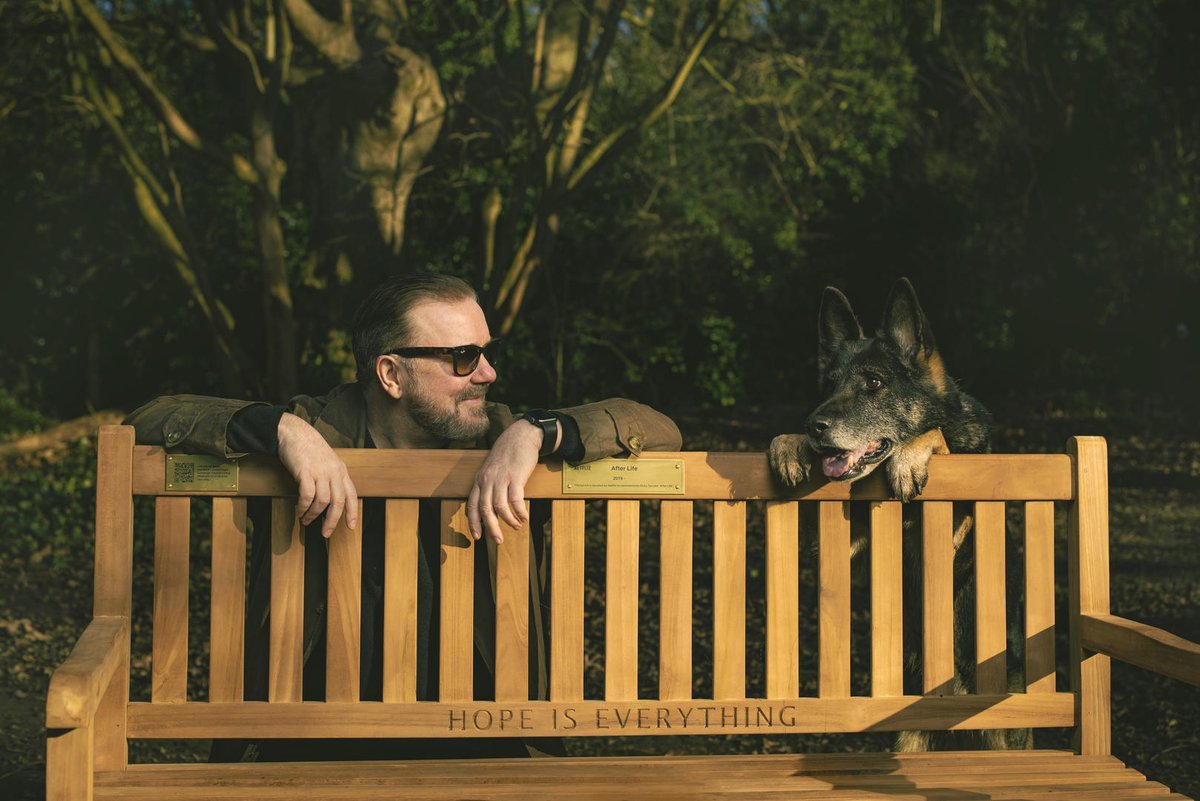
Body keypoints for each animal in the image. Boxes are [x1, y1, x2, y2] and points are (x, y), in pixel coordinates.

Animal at [768, 276, 1032, 753]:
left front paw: (910, 458)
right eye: (828, 385)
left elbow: (936, 435)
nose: (815, 425)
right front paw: (789, 444)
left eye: (874, 382)